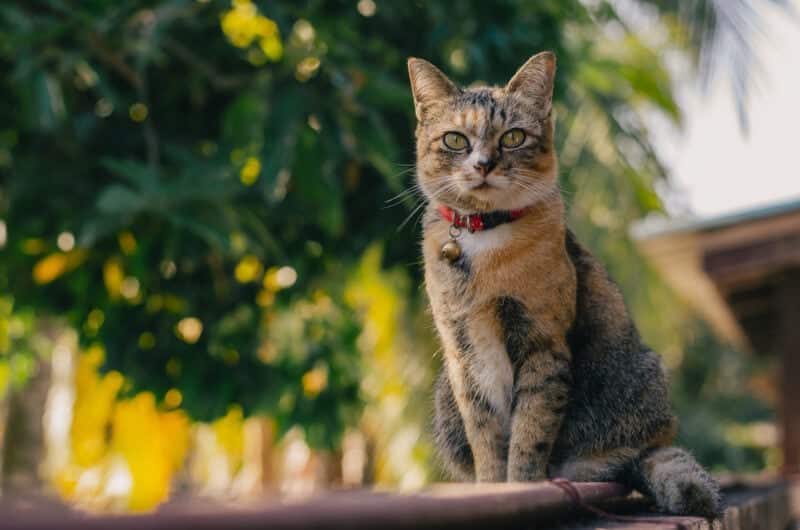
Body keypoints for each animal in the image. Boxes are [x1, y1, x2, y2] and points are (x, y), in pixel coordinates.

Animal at [410, 50, 720, 516]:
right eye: (455, 141)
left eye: (513, 137)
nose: (483, 165)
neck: (484, 240)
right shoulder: (465, 353)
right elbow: (485, 435)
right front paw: (492, 487)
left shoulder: (543, 344)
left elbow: (529, 432)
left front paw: (521, 486)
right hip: (446, 394)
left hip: (635, 390)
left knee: (615, 463)